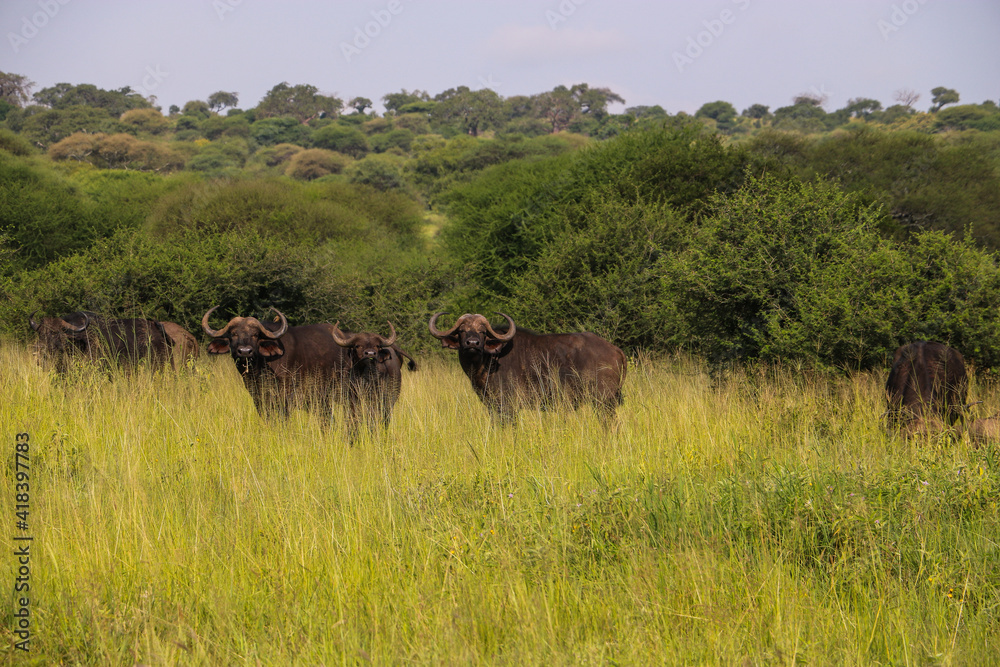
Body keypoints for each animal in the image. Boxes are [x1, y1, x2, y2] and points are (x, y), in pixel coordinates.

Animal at [201, 306, 351, 418]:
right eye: (233, 334)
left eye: (255, 335)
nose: (245, 351)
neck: (259, 370)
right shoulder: (258, 398)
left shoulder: (286, 398)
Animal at [428, 312, 627, 423]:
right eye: (462, 331)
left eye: (482, 332)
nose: (472, 343)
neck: (487, 362)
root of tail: (615, 349)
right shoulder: (493, 407)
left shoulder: (508, 406)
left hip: (604, 402)